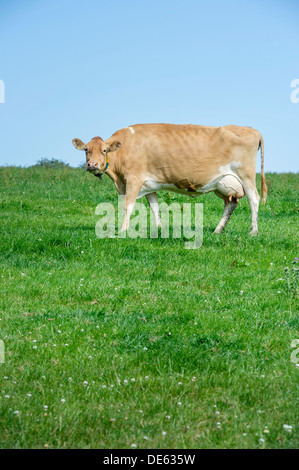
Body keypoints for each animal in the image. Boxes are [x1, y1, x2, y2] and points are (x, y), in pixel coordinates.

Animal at [72, 123, 268, 235]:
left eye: (104, 150)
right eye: (86, 150)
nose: (92, 164)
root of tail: (252, 130)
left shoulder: (134, 179)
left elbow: (128, 206)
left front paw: (123, 229)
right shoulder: (148, 184)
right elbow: (154, 207)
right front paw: (159, 229)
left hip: (246, 175)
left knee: (254, 199)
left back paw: (253, 231)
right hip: (224, 183)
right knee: (231, 204)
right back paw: (218, 230)